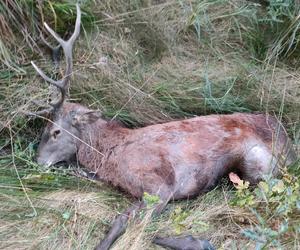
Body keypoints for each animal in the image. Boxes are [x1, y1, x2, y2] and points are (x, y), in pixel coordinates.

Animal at [27, 3, 296, 250]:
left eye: (55, 131)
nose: (38, 161)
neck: (112, 156)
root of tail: (288, 140)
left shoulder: (161, 184)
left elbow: (127, 223)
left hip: (259, 162)